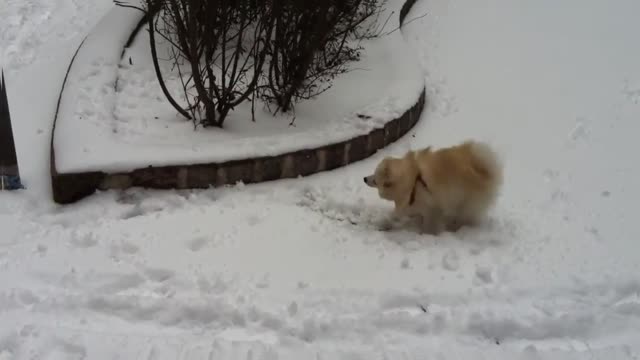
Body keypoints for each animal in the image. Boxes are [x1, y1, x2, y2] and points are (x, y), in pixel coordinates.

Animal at [362, 139, 502, 235]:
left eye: (375, 177)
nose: (364, 178)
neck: (412, 181)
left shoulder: (431, 207)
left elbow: (426, 222)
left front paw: (425, 233)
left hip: (465, 203)